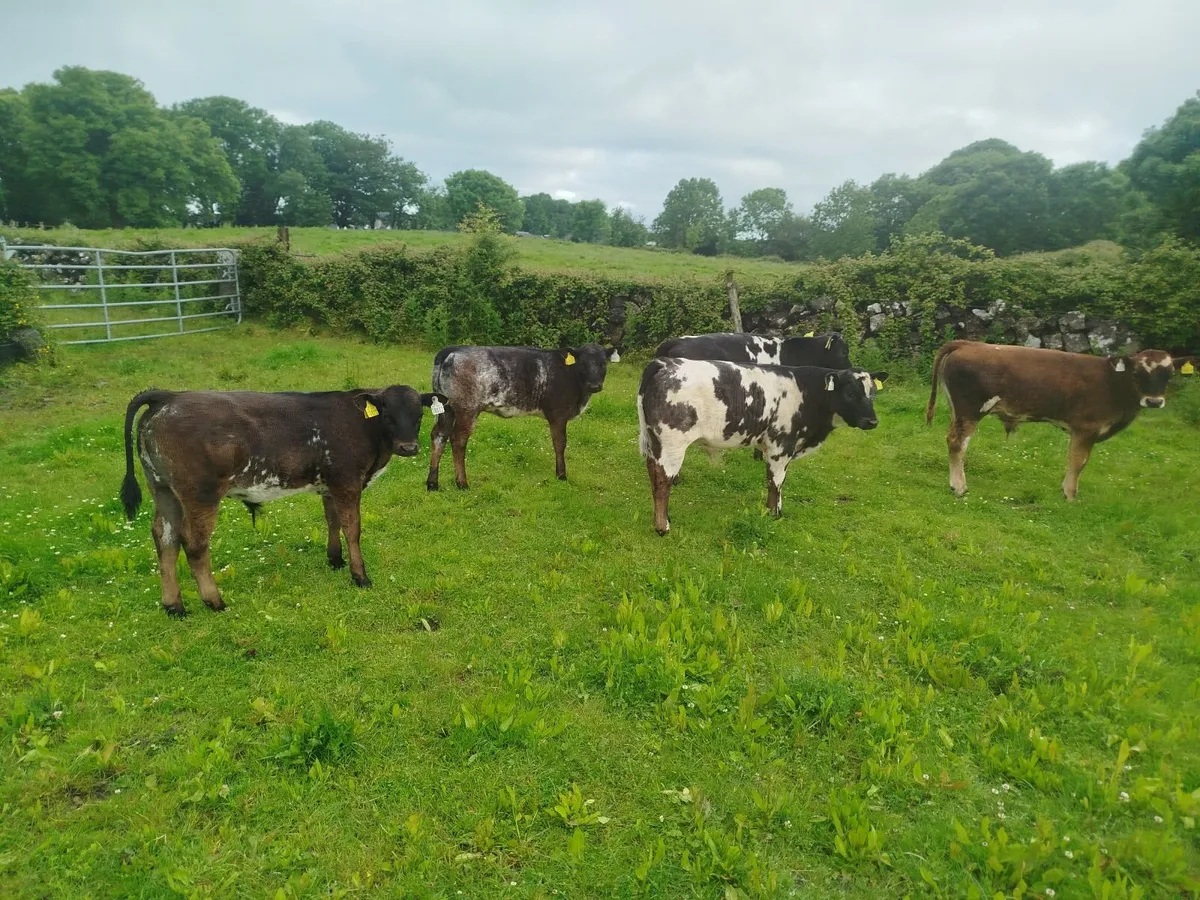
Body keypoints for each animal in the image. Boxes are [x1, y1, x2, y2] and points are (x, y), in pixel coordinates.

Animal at [120, 385, 447, 616]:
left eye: (419, 415)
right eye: (387, 415)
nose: (409, 447)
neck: (365, 429)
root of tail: (168, 397)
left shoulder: (329, 485)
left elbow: (333, 522)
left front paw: (335, 560)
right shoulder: (347, 482)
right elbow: (352, 529)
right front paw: (360, 576)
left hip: (162, 488)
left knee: (165, 537)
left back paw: (173, 605)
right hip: (200, 493)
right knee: (194, 543)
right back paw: (214, 601)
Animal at [426, 343, 618, 490]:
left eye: (603, 363)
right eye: (583, 363)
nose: (594, 385)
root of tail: (452, 349)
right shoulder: (558, 414)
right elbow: (560, 443)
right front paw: (561, 475)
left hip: (446, 409)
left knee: (439, 436)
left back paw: (432, 483)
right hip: (467, 408)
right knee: (458, 440)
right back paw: (462, 483)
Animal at [637, 358, 888, 534]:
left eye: (873, 394)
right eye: (850, 392)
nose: (872, 422)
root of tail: (664, 363)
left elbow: (777, 481)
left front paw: (776, 510)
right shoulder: (781, 445)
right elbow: (775, 482)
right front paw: (774, 513)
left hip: (653, 441)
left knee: (652, 473)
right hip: (672, 443)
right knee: (663, 481)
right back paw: (662, 527)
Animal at [926, 340, 1196, 500]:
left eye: (1169, 374)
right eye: (1138, 372)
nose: (1154, 401)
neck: (1112, 381)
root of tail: (969, 343)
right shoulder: (1086, 428)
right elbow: (1078, 462)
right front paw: (1070, 494)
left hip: (958, 411)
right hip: (970, 411)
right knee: (957, 443)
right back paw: (959, 487)